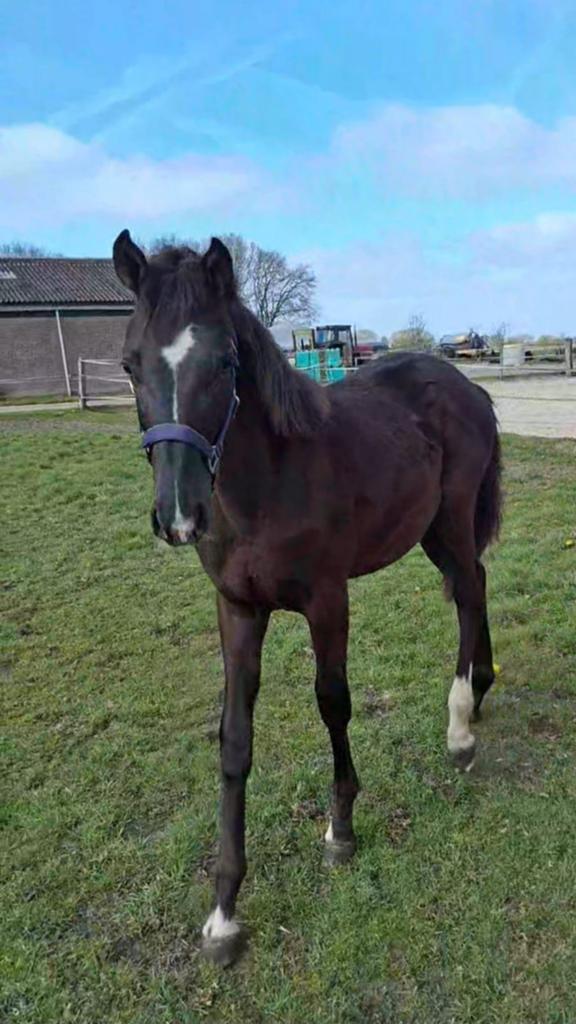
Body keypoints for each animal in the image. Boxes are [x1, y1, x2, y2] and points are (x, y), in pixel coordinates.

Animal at [112, 230, 502, 966]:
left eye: (225, 360)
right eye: (128, 364)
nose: (178, 516)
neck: (268, 483)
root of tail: (467, 385)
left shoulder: (327, 600)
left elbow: (333, 703)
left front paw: (340, 830)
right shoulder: (238, 611)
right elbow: (234, 739)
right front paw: (224, 913)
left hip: (451, 519)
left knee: (468, 593)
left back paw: (461, 727)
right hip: (429, 531)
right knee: (479, 585)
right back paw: (482, 691)